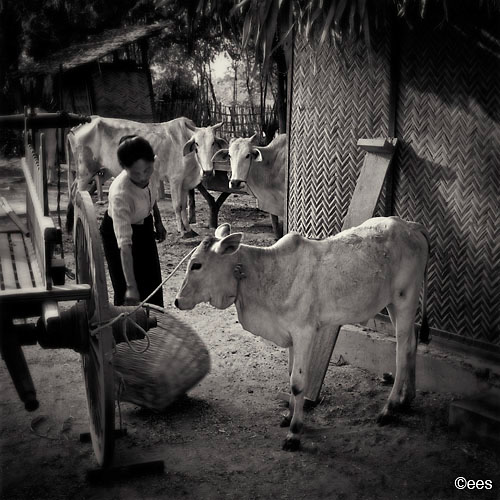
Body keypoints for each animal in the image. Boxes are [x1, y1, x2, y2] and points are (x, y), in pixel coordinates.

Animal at [66, 116, 227, 237]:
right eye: (197, 144)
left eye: (213, 142)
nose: (208, 171)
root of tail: (75, 128)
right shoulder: (175, 180)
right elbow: (177, 205)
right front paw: (182, 231)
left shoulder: (185, 183)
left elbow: (184, 206)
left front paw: (189, 229)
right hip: (85, 172)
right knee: (77, 194)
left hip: (104, 171)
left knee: (73, 190)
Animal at [176, 217, 430, 452]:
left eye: (196, 265)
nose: (177, 301)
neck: (266, 274)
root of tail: (411, 226)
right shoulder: (289, 335)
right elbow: (290, 375)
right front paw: (289, 416)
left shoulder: (304, 332)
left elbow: (298, 383)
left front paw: (294, 433)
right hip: (393, 304)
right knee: (412, 344)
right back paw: (406, 399)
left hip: (405, 299)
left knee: (402, 350)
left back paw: (389, 408)